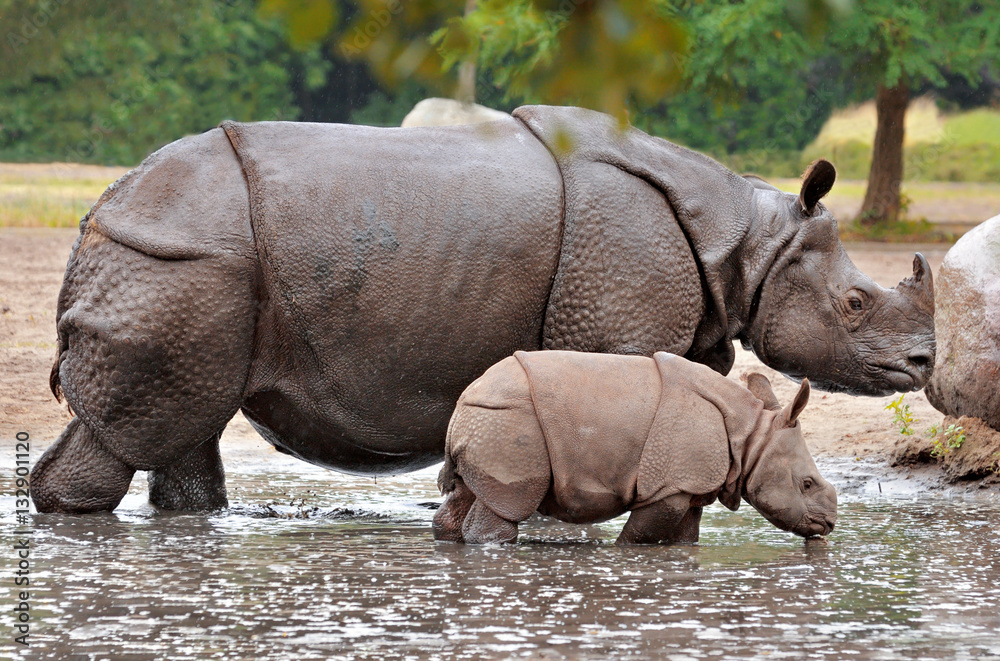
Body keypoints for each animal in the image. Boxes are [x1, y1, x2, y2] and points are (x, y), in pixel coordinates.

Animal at [32, 105, 934, 514]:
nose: (925, 363)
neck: (748, 240)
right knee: (138, 431)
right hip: (181, 262)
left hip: (187, 267)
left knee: (185, 423)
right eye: (855, 302)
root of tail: (97, 216)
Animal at [433, 350, 837, 544]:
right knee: (507, 505)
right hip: (511, 420)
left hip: (492, 419)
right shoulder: (670, 486)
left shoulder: (688, 483)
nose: (829, 524)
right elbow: (641, 536)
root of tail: (462, 405)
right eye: (806, 484)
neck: (750, 435)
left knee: (468, 494)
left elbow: (684, 539)